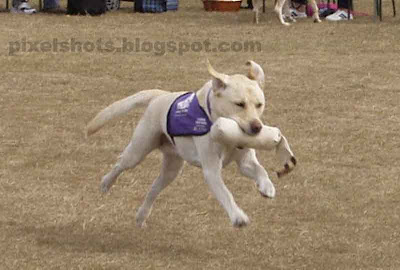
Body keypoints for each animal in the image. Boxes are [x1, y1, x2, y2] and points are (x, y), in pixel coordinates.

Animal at [86, 60, 296, 228]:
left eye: (259, 105)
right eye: (239, 104)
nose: (257, 128)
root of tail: (161, 95)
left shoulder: (245, 162)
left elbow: (260, 170)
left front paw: (266, 187)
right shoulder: (211, 170)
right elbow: (226, 193)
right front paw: (238, 217)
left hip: (171, 169)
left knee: (153, 189)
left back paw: (141, 216)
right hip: (138, 150)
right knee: (120, 164)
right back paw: (106, 183)